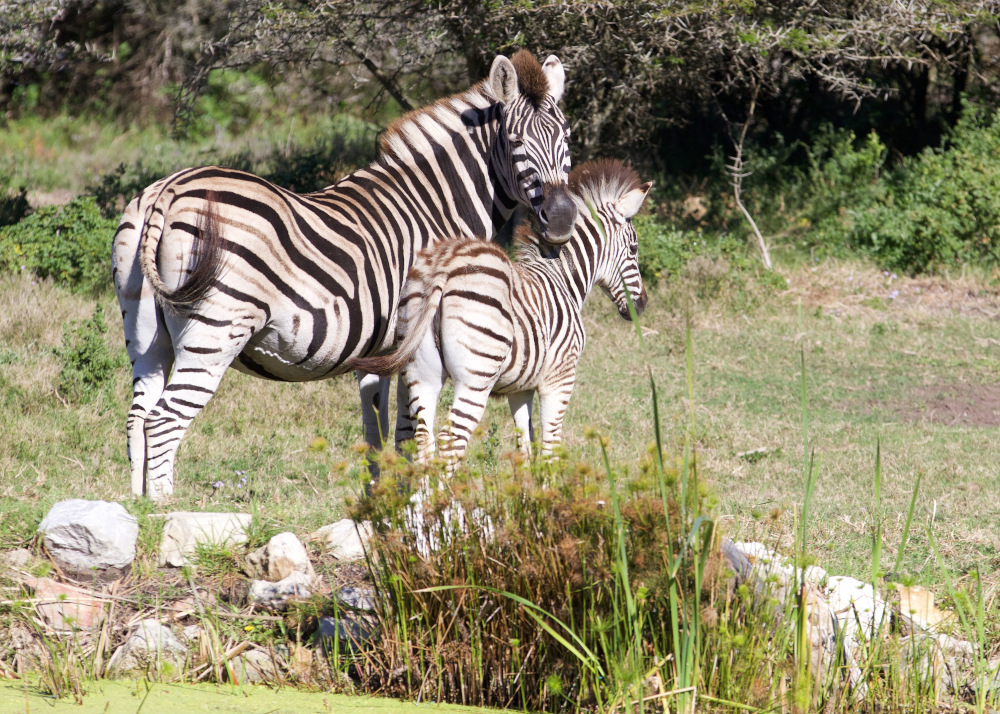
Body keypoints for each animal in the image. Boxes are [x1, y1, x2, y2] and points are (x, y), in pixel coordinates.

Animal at [112, 50, 576, 498]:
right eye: (515, 141)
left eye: (567, 137)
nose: (561, 219)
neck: (433, 206)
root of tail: (168, 190)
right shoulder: (410, 343)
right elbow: (407, 432)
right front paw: (409, 499)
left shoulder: (377, 352)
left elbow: (376, 431)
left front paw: (381, 497)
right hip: (217, 325)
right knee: (165, 420)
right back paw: (164, 505)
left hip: (144, 328)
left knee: (138, 416)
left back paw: (138, 508)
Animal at [354, 159, 656, 464]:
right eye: (634, 248)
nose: (642, 305)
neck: (562, 280)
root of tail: (444, 265)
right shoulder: (560, 377)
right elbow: (550, 446)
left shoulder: (521, 389)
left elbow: (526, 446)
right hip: (476, 376)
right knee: (451, 440)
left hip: (421, 370)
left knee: (424, 441)